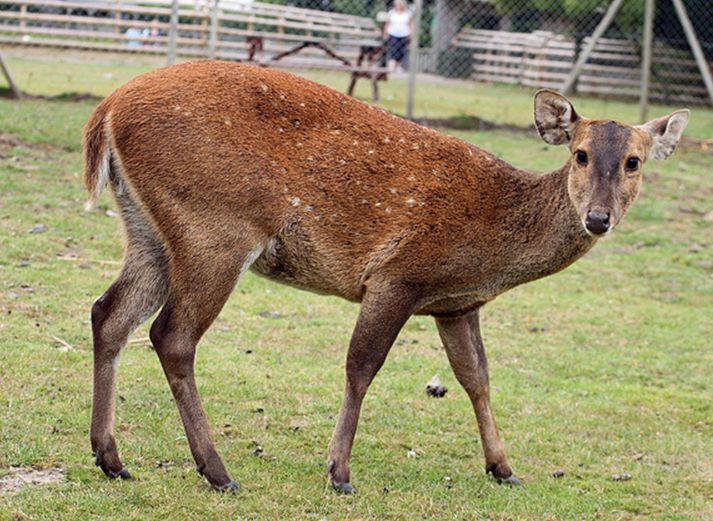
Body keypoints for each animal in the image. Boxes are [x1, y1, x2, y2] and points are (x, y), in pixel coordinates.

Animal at [83, 60, 689, 493]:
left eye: (633, 161)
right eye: (581, 154)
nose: (598, 218)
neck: (494, 249)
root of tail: (105, 112)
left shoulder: (456, 302)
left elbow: (477, 377)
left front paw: (504, 467)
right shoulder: (398, 276)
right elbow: (362, 367)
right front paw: (339, 473)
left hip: (148, 231)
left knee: (108, 313)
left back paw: (112, 458)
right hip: (214, 227)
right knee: (171, 335)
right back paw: (218, 471)